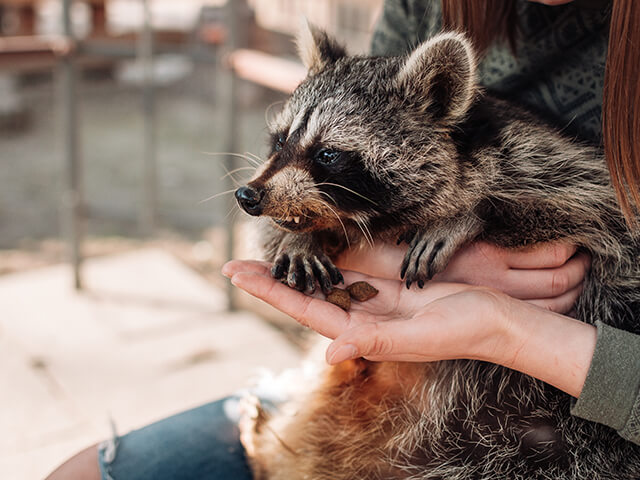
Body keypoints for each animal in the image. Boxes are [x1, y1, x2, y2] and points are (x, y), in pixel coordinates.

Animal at [232, 26, 640, 480]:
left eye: (327, 154)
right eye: (280, 139)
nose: (248, 196)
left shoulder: (550, 164)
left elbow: (590, 211)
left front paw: (468, 215)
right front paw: (304, 237)